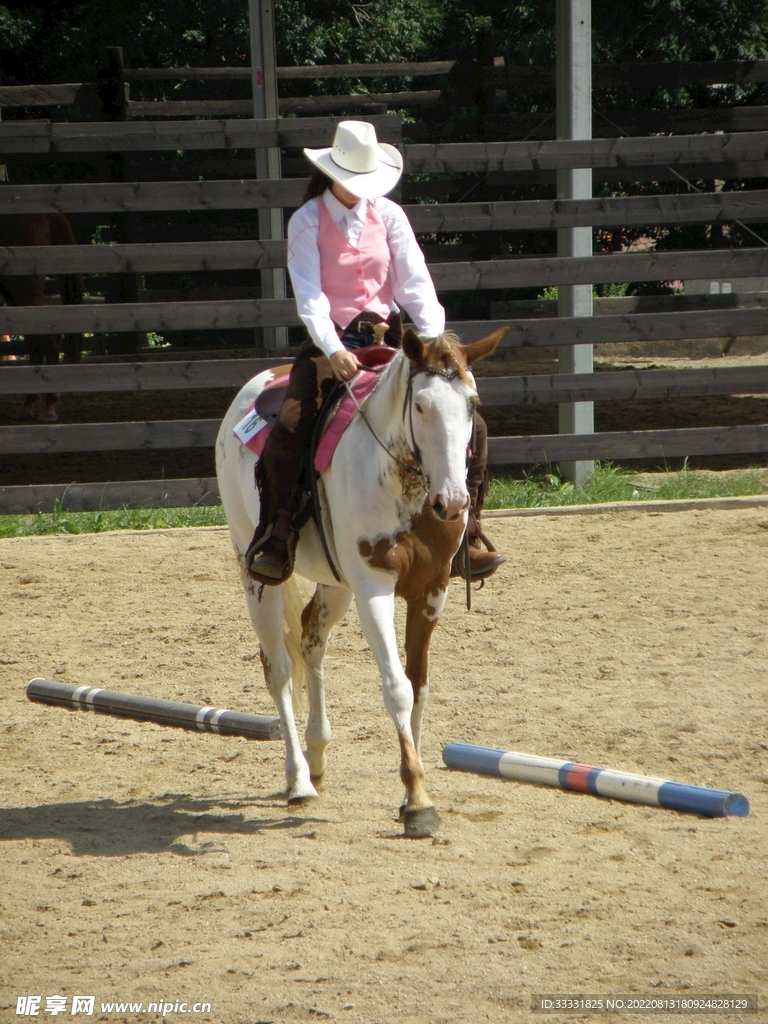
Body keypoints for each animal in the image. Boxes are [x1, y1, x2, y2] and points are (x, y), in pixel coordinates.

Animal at [216, 326, 505, 837]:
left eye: (471, 404)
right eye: (420, 405)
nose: (453, 502)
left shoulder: (432, 591)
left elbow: (419, 685)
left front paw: (413, 790)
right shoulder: (374, 589)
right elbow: (397, 688)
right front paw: (417, 802)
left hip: (337, 584)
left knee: (310, 639)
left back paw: (316, 756)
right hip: (256, 575)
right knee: (279, 668)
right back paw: (298, 779)